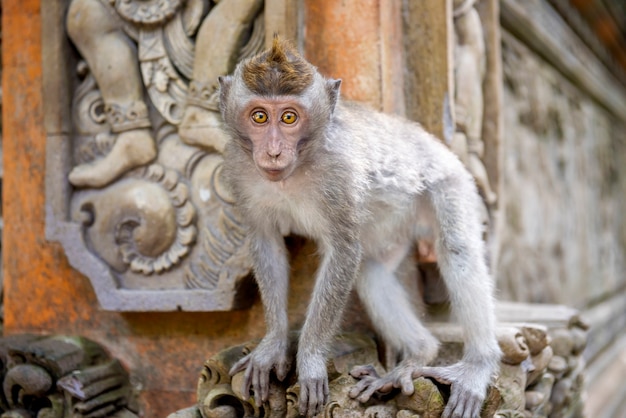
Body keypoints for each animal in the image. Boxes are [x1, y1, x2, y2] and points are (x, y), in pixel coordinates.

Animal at [217, 37, 500, 416]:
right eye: (259, 116)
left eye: (289, 117)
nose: (274, 151)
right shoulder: (238, 168)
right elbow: (266, 243)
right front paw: (272, 345)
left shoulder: (341, 172)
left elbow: (343, 250)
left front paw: (309, 359)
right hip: (393, 227)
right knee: (371, 270)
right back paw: (415, 356)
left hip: (450, 182)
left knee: (458, 251)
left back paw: (476, 366)